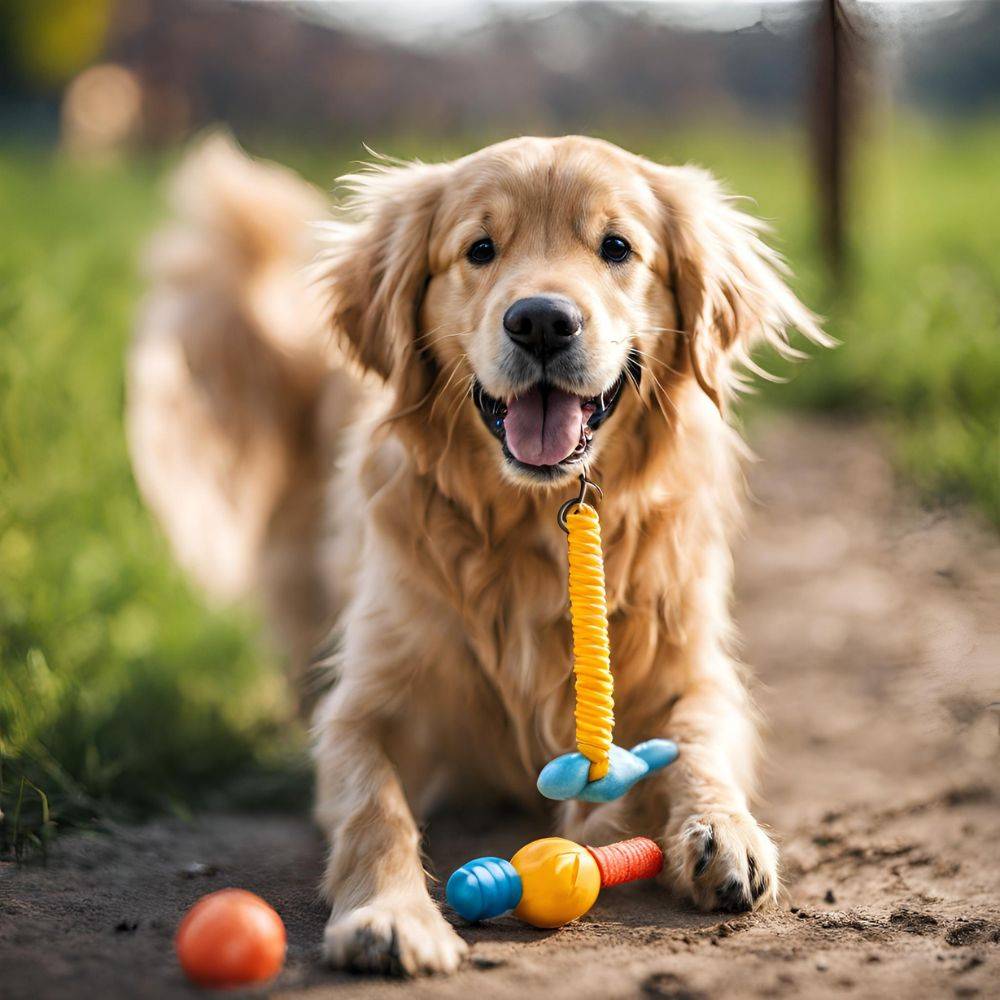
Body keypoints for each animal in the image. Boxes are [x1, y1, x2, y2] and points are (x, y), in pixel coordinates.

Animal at [127, 133, 828, 976]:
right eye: (480, 249)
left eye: (617, 247)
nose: (542, 321)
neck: (530, 527)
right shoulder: (365, 705)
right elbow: (374, 807)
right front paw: (390, 915)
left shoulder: (692, 665)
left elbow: (700, 742)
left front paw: (721, 831)